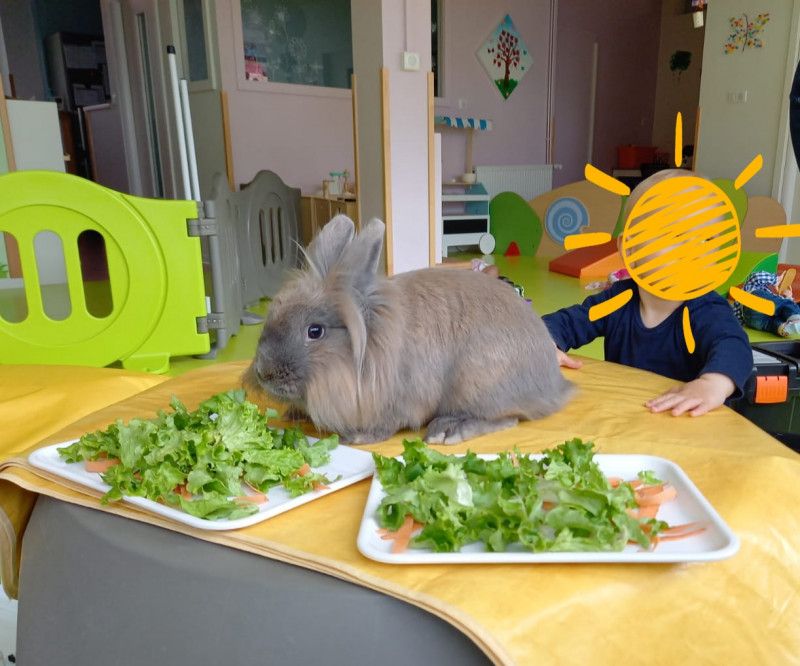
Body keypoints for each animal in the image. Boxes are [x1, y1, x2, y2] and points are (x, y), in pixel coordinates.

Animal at [247, 215, 572, 444]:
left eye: (315, 332)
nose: (264, 373)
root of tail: (554, 384)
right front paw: (293, 413)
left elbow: (387, 424)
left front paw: (358, 437)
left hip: (478, 383)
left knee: (507, 418)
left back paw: (448, 430)